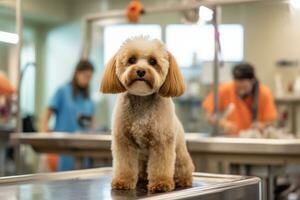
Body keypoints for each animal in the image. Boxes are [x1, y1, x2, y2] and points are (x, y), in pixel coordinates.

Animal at [101, 36, 195, 193]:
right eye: (132, 60)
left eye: (153, 61)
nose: (140, 71)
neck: (142, 99)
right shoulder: (124, 141)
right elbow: (124, 164)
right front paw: (123, 181)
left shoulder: (161, 141)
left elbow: (161, 165)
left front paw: (161, 183)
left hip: (180, 155)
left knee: (182, 167)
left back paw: (183, 180)